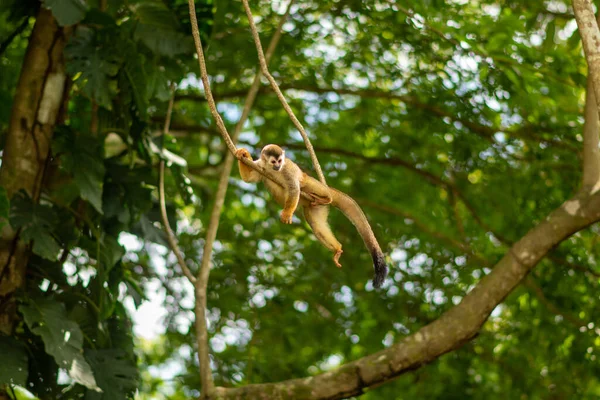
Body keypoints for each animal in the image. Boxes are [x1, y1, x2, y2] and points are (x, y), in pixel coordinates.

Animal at [234, 144, 390, 288]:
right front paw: (243, 153)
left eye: (280, 161)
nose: (278, 166)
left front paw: (287, 213)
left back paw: (327, 198)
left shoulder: (287, 170)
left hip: (309, 183)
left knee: (306, 186)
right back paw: (337, 249)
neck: (273, 169)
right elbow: (249, 178)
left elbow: (294, 189)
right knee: (315, 225)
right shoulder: (260, 166)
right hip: (313, 207)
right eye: (273, 162)